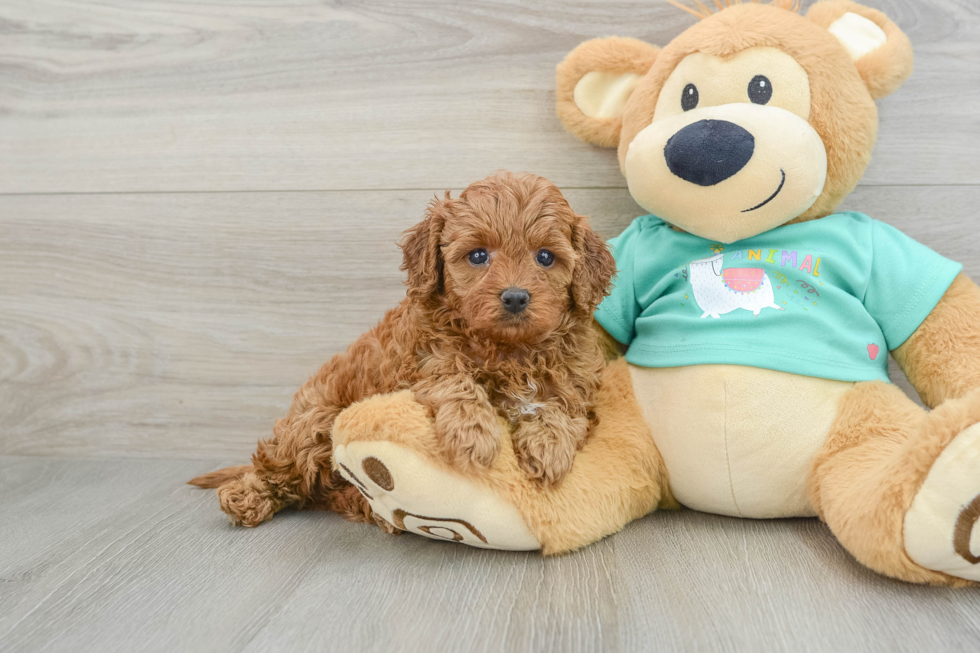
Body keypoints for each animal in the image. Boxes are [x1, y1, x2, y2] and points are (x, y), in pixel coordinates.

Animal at [189, 171, 612, 528]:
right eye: (478, 255)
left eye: (545, 257)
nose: (515, 297)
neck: (509, 349)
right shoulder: (418, 364)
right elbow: (454, 380)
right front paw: (473, 434)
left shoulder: (577, 382)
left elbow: (562, 408)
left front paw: (549, 448)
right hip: (313, 423)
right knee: (277, 467)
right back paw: (246, 496)